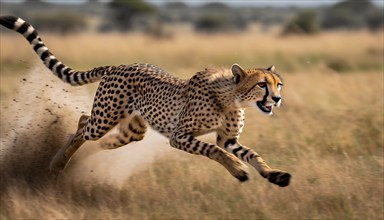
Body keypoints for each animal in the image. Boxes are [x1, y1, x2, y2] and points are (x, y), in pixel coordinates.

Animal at [0, 15, 292, 187]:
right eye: (262, 85)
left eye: (278, 84)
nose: (277, 99)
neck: (230, 99)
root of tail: (118, 65)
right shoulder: (179, 136)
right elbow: (214, 150)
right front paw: (238, 170)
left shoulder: (227, 138)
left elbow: (251, 153)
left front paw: (274, 174)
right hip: (104, 118)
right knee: (83, 123)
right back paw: (58, 163)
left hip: (134, 129)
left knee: (102, 136)